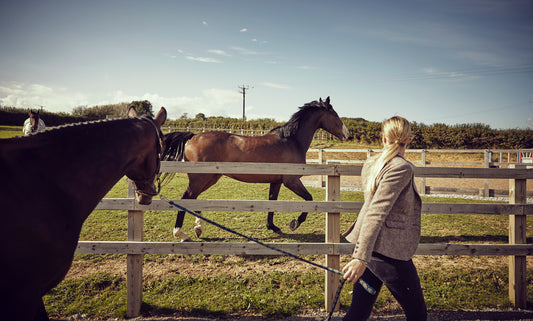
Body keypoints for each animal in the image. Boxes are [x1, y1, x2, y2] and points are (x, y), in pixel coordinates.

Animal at [160, 96, 348, 241]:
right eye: (334, 114)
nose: (347, 134)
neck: (291, 140)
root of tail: (193, 136)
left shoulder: (276, 182)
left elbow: (272, 202)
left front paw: (274, 227)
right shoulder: (291, 181)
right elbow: (309, 199)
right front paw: (294, 223)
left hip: (209, 178)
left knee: (192, 199)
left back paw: (198, 227)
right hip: (200, 179)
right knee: (186, 198)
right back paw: (181, 233)